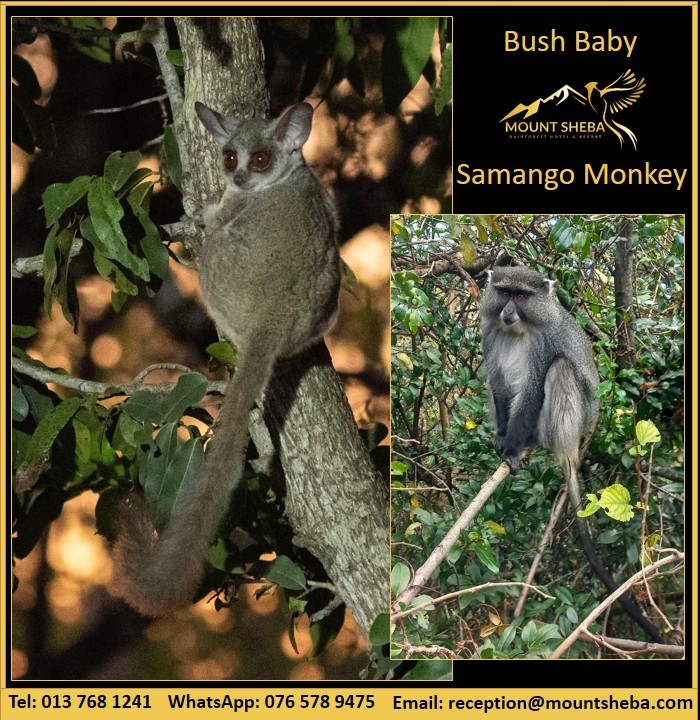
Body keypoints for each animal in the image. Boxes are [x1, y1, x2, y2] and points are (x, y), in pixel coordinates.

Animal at [110, 102, 340, 616]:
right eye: (230, 156)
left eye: (260, 159)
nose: (236, 177)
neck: (283, 178)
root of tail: (272, 316)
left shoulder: (236, 209)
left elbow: (217, 219)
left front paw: (200, 210)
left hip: (220, 268)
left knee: (213, 246)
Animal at [480, 265, 661, 642]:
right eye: (504, 293)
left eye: (522, 296)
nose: (507, 311)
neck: (518, 330)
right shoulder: (490, 333)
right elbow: (498, 384)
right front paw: (503, 439)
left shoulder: (543, 345)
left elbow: (533, 387)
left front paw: (512, 448)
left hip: (569, 421)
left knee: (561, 368)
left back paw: (536, 442)